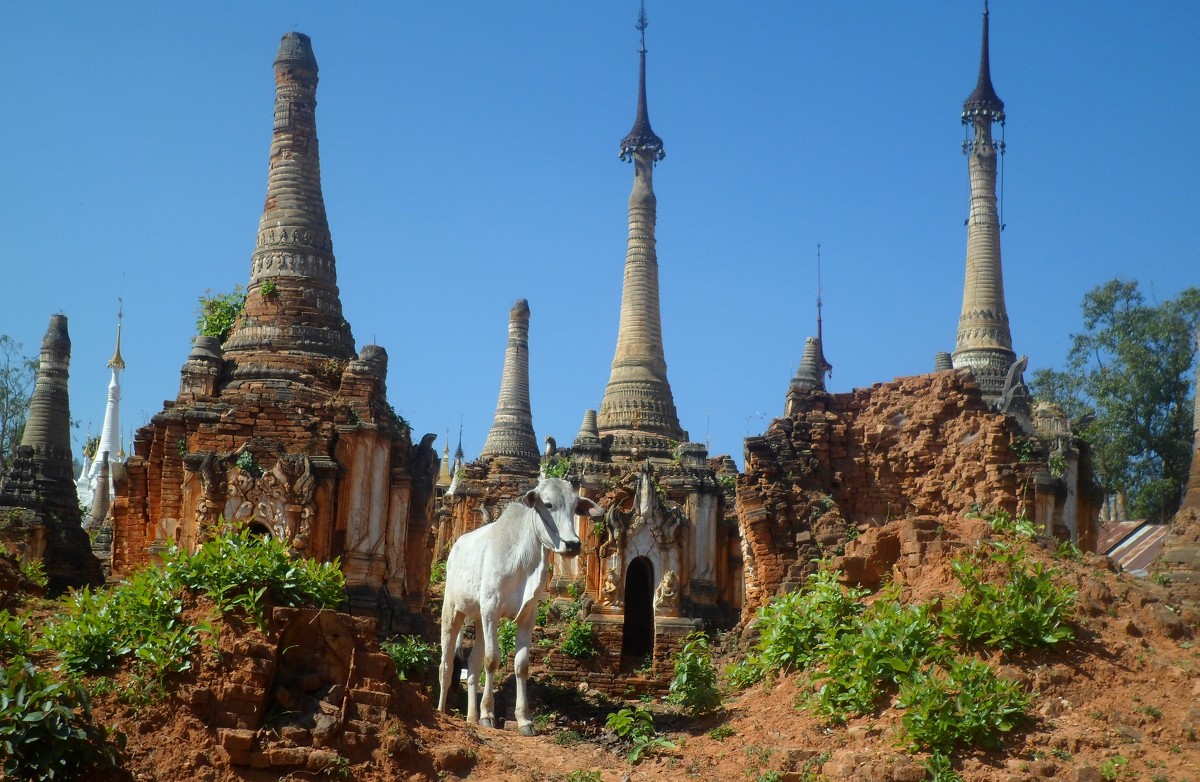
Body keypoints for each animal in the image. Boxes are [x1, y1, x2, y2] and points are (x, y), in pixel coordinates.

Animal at [436, 472, 600, 734]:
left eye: (575, 507)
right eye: (548, 504)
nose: (573, 544)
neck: (525, 561)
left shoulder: (526, 615)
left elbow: (521, 664)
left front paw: (524, 719)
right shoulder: (491, 610)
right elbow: (492, 660)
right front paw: (488, 715)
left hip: (479, 619)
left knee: (471, 665)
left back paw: (471, 716)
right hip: (452, 610)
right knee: (447, 664)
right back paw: (442, 710)